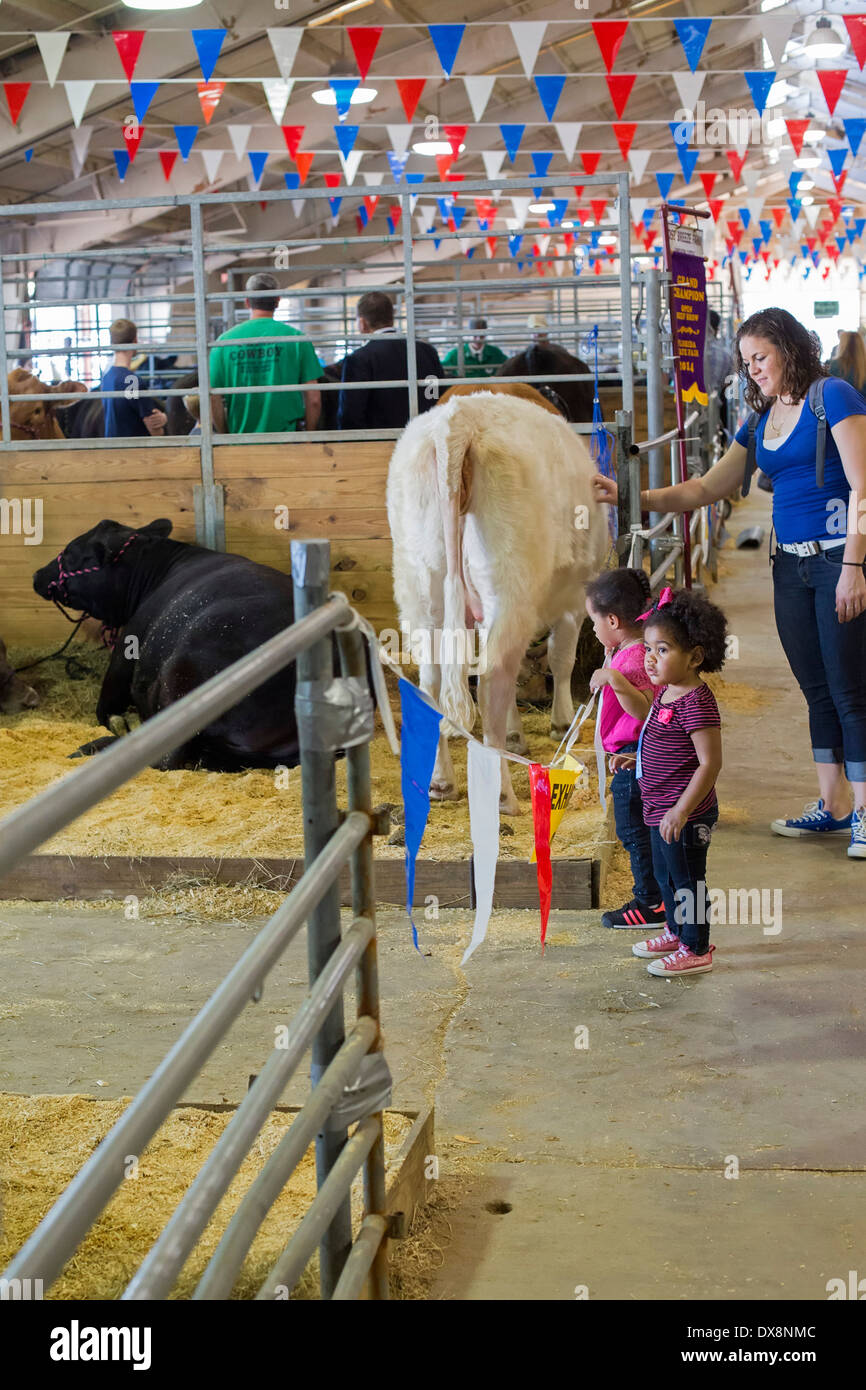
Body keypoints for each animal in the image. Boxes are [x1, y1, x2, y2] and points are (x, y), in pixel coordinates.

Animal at [386, 391, 608, 811]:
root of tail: (458, 421)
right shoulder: (573, 603)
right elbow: (561, 658)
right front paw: (559, 722)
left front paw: (518, 734)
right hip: (508, 590)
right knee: (491, 682)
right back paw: (502, 794)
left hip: (421, 590)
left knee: (433, 683)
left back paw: (441, 782)